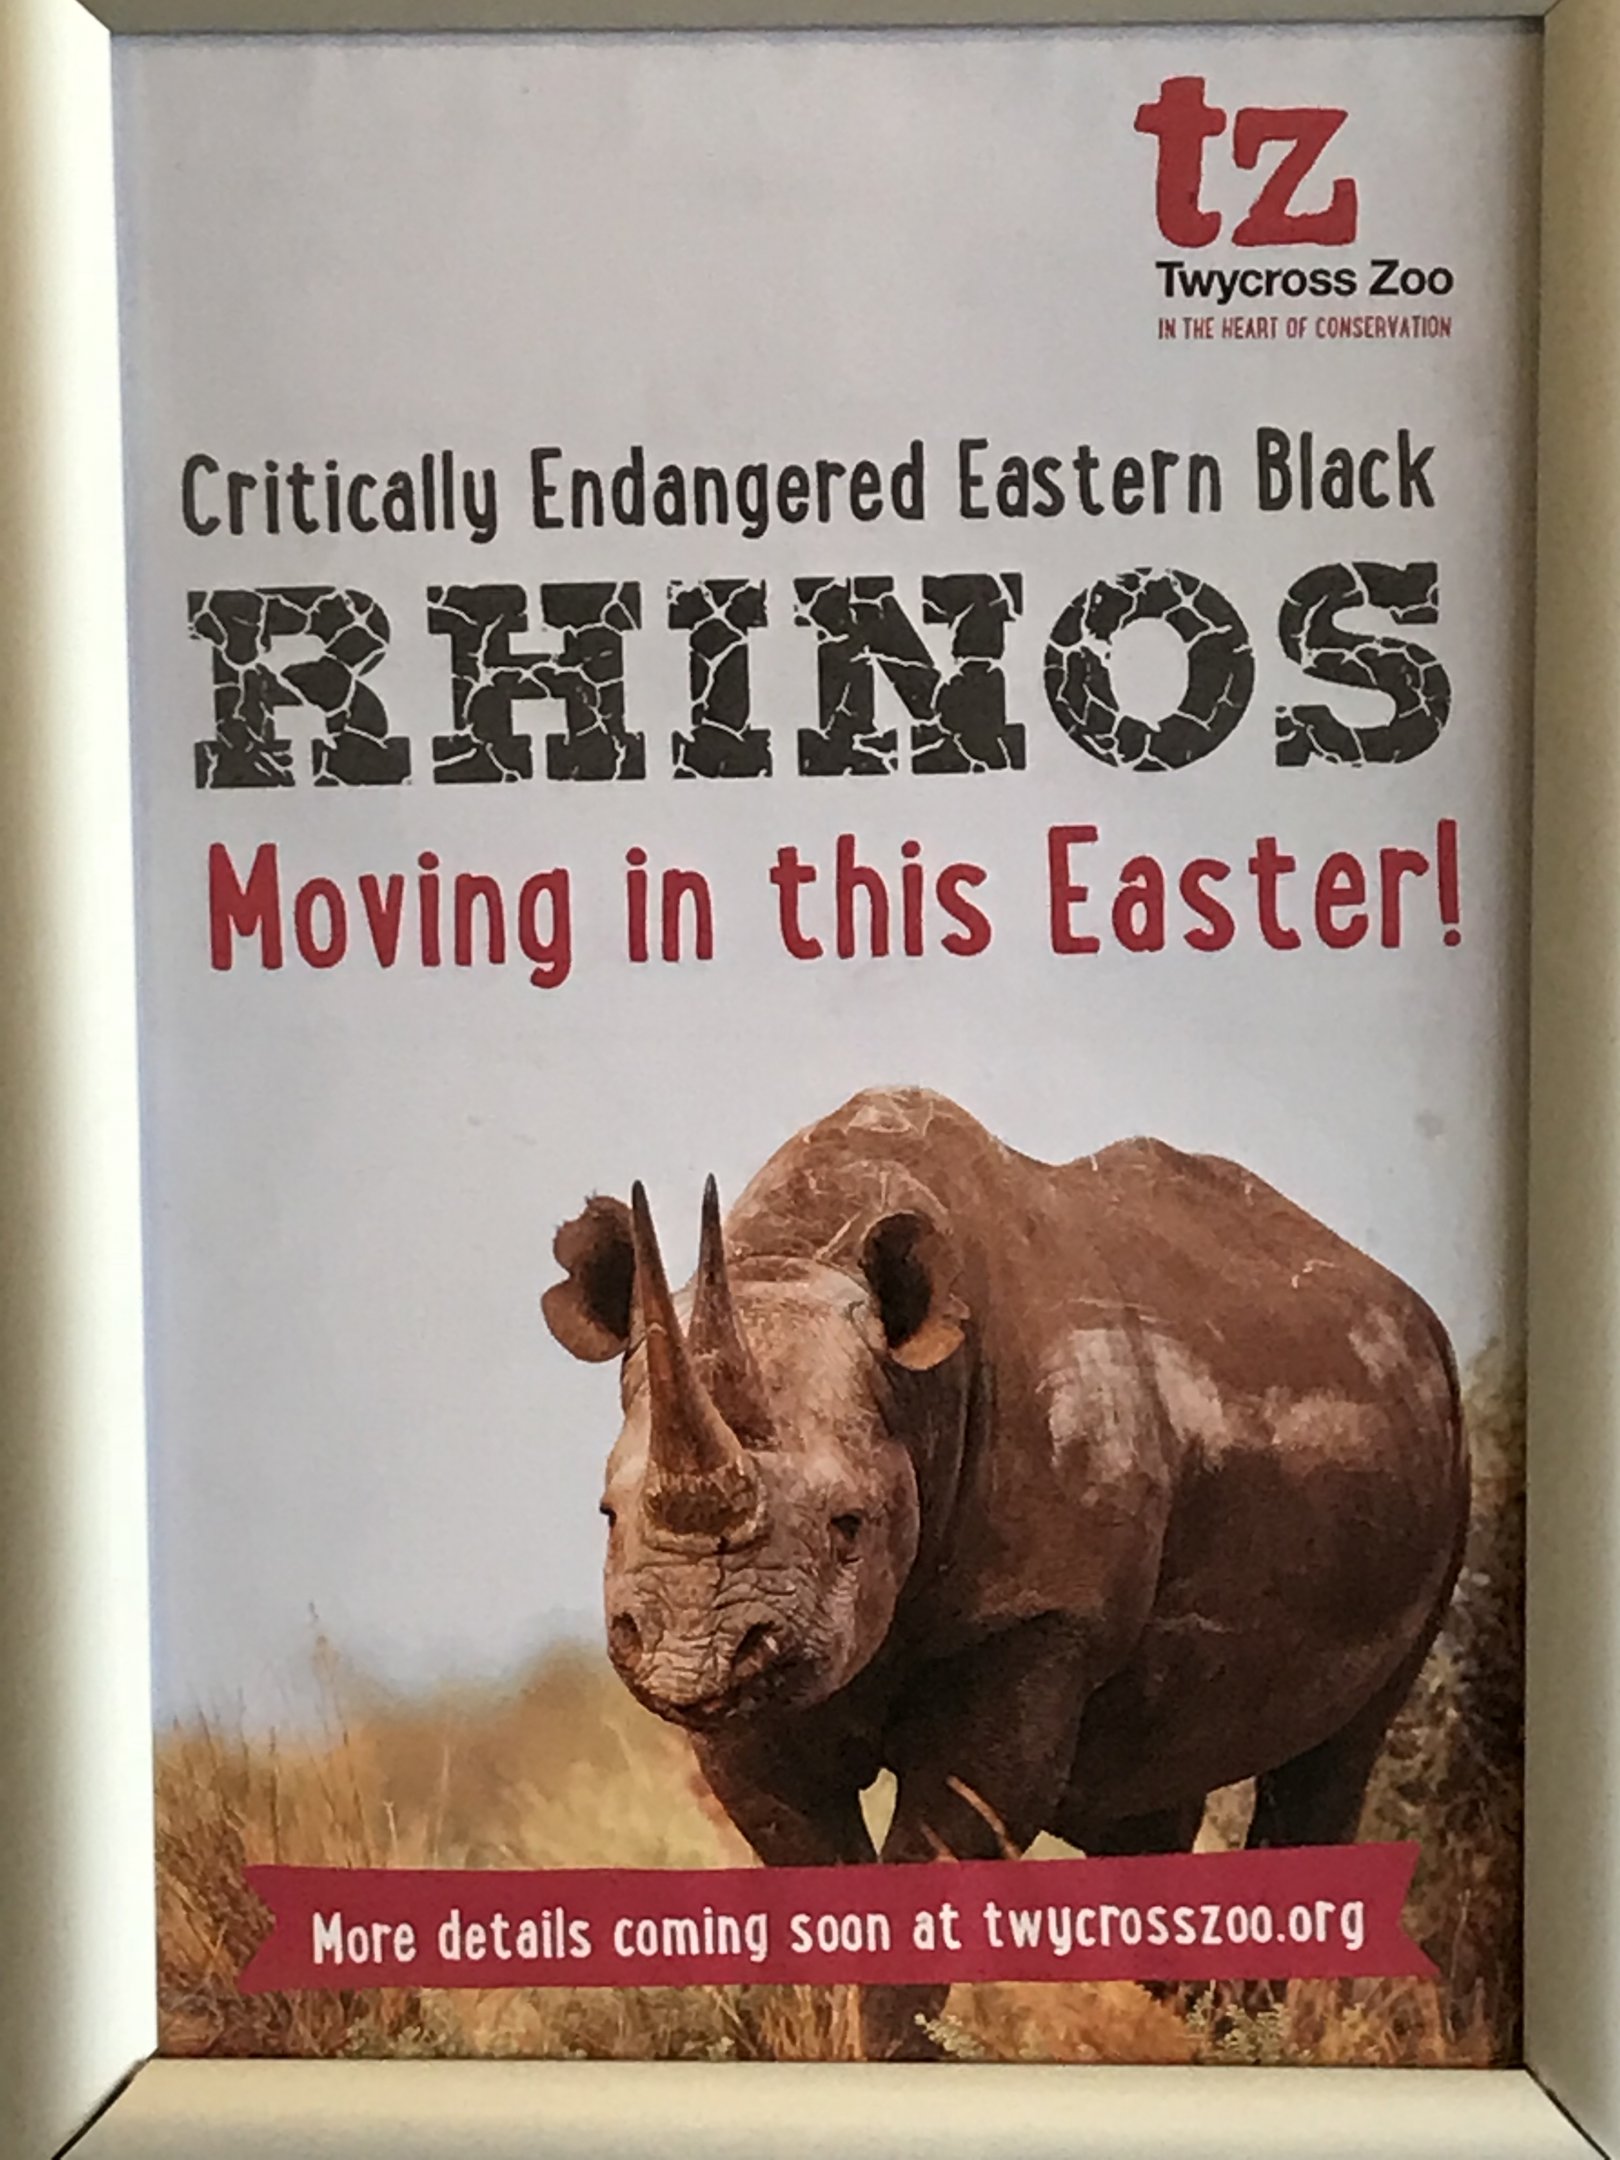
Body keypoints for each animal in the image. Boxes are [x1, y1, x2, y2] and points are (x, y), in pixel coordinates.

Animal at [542, 1087, 1468, 2058]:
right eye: (608, 1515)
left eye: (848, 1525)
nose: (694, 1657)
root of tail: (1410, 1311)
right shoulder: (758, 1706)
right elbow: (812, 1865)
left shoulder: (1038, 1616)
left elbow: (938, 1857)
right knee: (1136, 1810)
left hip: (1444, 1456)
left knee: (1335, 1760)